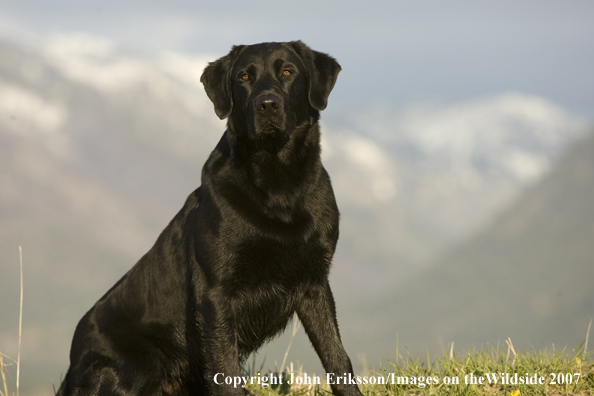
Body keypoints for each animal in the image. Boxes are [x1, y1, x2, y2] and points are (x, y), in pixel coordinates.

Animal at [57, 41, 360, 396]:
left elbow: (337, 357)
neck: (278, 187)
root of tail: (71, 369)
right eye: (244, 77)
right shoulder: (216, 293)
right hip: (136, 362)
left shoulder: (314, 281)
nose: (267, 105)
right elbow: (225, 371)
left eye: (288, 72)